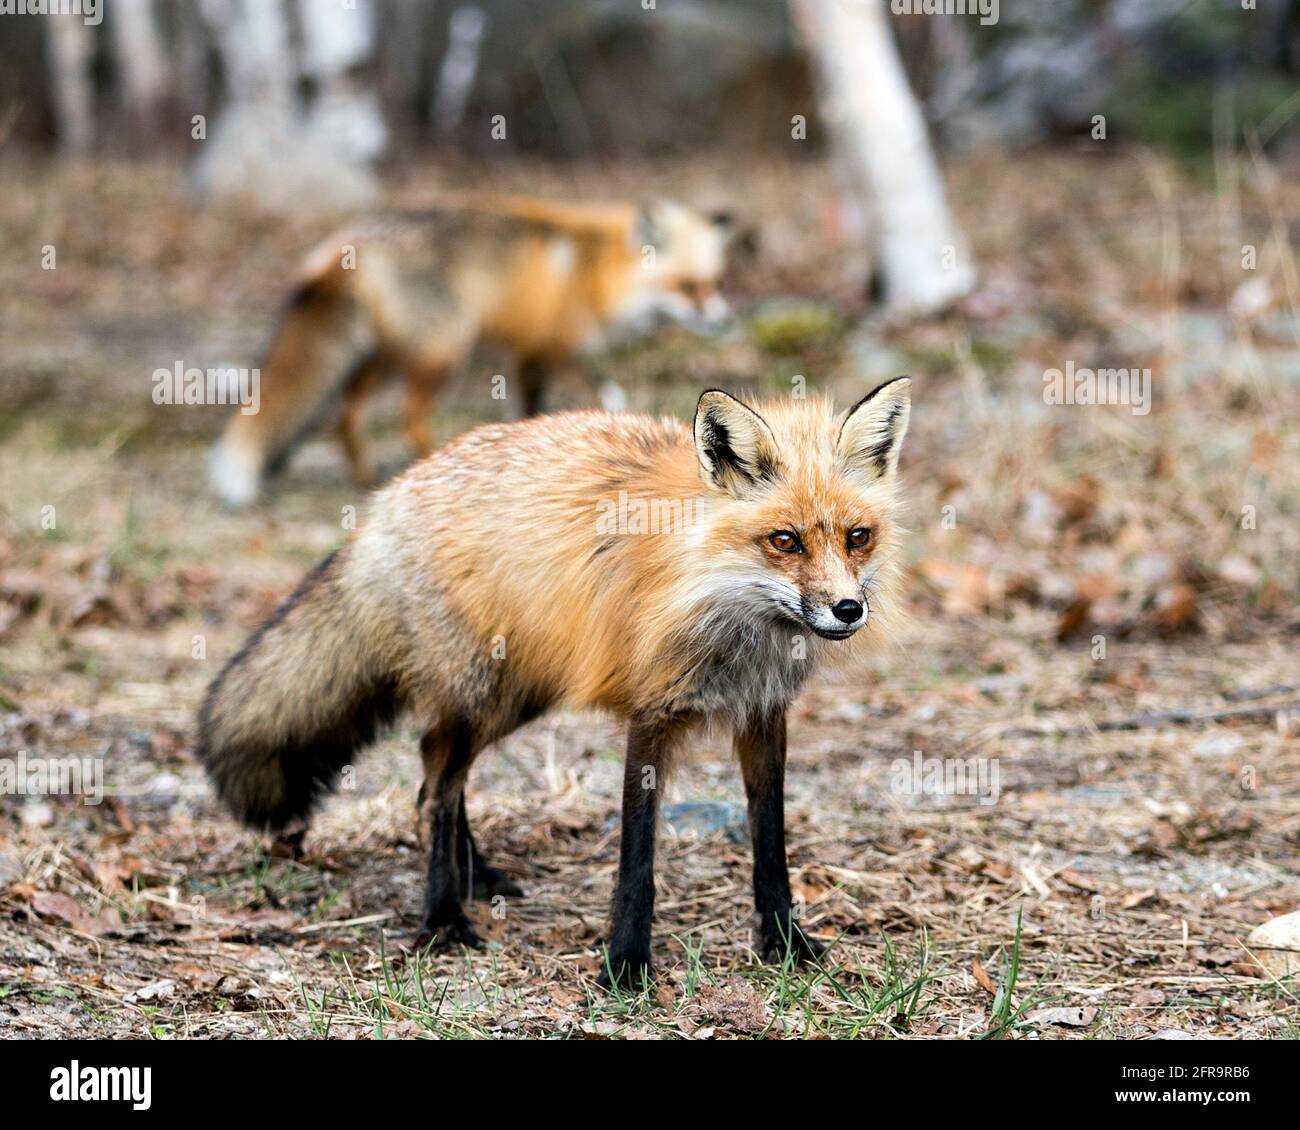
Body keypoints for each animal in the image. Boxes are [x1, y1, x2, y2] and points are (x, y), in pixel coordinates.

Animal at [196, 378, 912, 987]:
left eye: (858, 537)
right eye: (785, 540)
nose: (849, 610)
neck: (727, 610)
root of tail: (384, 504)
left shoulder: (764, 715)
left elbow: (770, 847)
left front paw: (786, 945)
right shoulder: (650, 713)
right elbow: (637, 860)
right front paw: (625, 965)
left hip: (515, 696)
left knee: (433, 776)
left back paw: (475, 876)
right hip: (480, 693)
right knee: (434, 785)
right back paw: (444, 915)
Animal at [208, 196, 738, 507]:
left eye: (715, 282)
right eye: (688, 287)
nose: (724, 319)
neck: (591, 273)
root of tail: (349, 241)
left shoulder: (536, 354)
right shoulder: (541, 348)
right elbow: (586, 396)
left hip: (382, 359)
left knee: (347, 417)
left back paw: (365, 477)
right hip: (444, 352)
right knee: (408, 418)